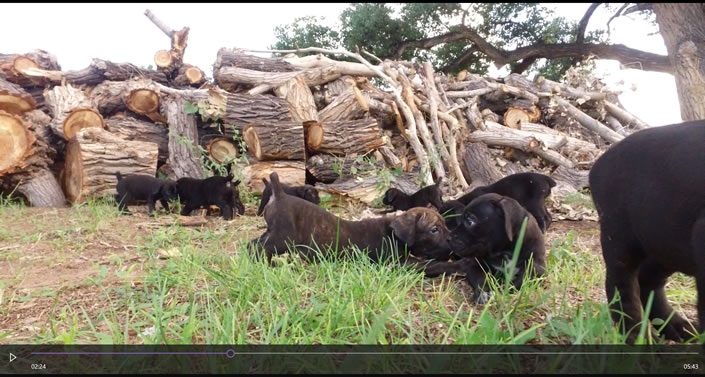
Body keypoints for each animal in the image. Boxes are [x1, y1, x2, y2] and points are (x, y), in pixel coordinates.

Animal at [420, 194, 548, 302]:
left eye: (470, 221)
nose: (448, 238)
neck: (505, 251)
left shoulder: (537, 267)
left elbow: (520, 281)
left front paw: (502, 292)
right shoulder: (476, 264)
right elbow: (482, 279)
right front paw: (484, 292)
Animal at [588, 120, 704, 340]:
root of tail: (598, 164)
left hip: (665, 242)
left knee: (647, 278)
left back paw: (678, 328)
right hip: (619, 235)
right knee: (621, 282)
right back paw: (636, 335)